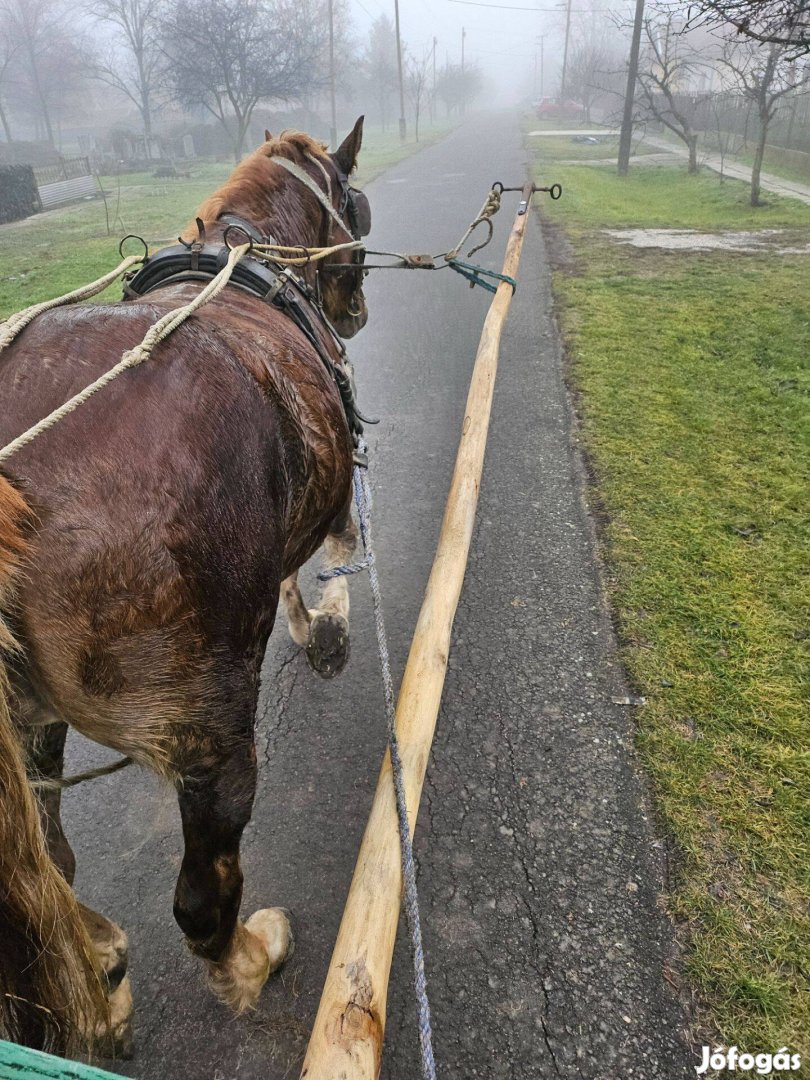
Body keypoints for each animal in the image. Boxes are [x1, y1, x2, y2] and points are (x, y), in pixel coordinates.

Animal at [0, 118, 371, 1054]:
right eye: (353, 206)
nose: (352, 312)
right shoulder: (329, 488)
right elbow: (326, 561)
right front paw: (323, 629)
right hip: (209, 728)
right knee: (201, 904)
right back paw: (250, 958)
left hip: (29, 733)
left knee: (50, 868)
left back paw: (99, 968)